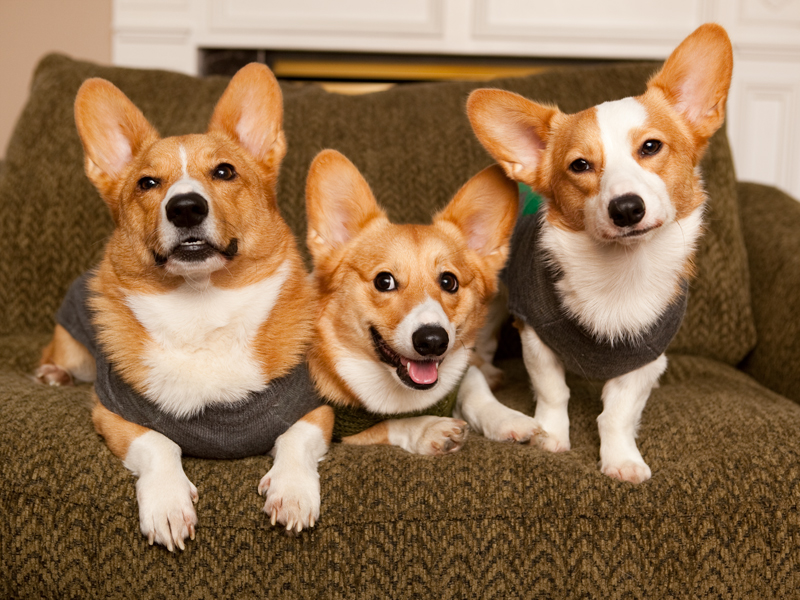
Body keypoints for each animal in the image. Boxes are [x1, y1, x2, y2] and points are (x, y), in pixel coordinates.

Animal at [35, 63, 332, 548]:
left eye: (225, 172)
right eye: (147, 183)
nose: (186, 208)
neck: (201, 308)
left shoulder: (315, 409)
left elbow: (295, 440)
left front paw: (292, 491)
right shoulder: (112, 413)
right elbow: (159, 444)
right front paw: (168, 505)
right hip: (73, 347)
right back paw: (53, 374)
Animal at [302, 150, 544, 454]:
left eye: (449, 282)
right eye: (384, 281)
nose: (432, 341)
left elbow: (473, 388)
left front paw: (507, 418)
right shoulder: (345, 431)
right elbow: (392, 424)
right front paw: (429, 428)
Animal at [466, 24, 736, 482]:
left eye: (651, 147)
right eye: (580, 165)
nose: (626, 208)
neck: (619, 272)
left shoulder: (645, 363)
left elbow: (618, 415)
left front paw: (622, 460)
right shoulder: (536, 338)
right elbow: (553, 393)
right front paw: (551, 438)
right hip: (497, 299)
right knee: (483, 340)